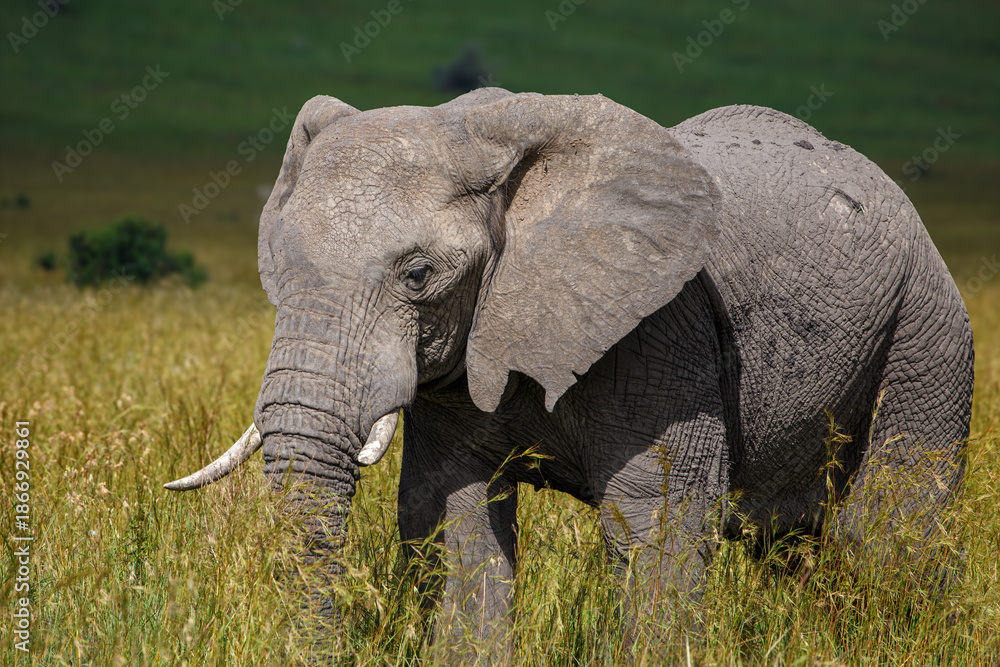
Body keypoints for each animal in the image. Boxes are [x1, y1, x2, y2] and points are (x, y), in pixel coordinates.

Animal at [166, 88, 974, 653]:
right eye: (276, 267)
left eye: (418, 274)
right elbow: (454, 519)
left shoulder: (663, 331)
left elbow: (658, 521)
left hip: (928, 331)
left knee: (889, 527)